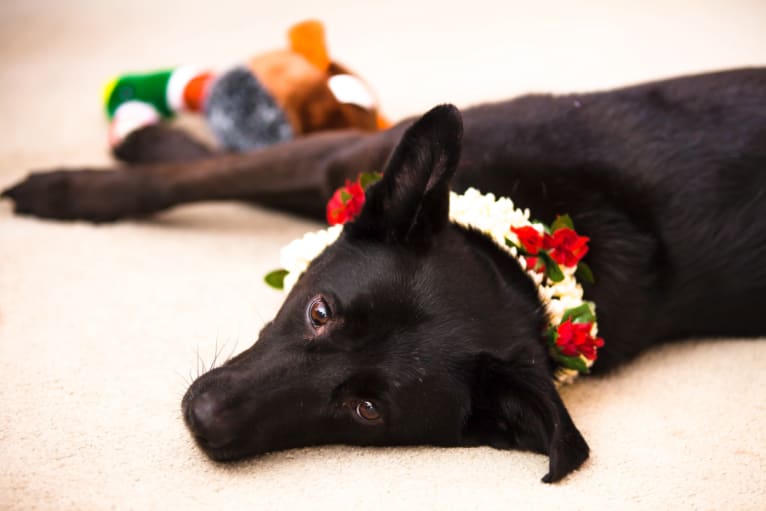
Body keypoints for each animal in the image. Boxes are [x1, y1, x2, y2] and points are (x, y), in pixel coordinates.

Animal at [1, 69, 766, 484]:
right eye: (319, 311)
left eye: (367, 410)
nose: (202, 419)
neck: (517, 260)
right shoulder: (342, 164)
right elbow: (195, 177)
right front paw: (94, 174)